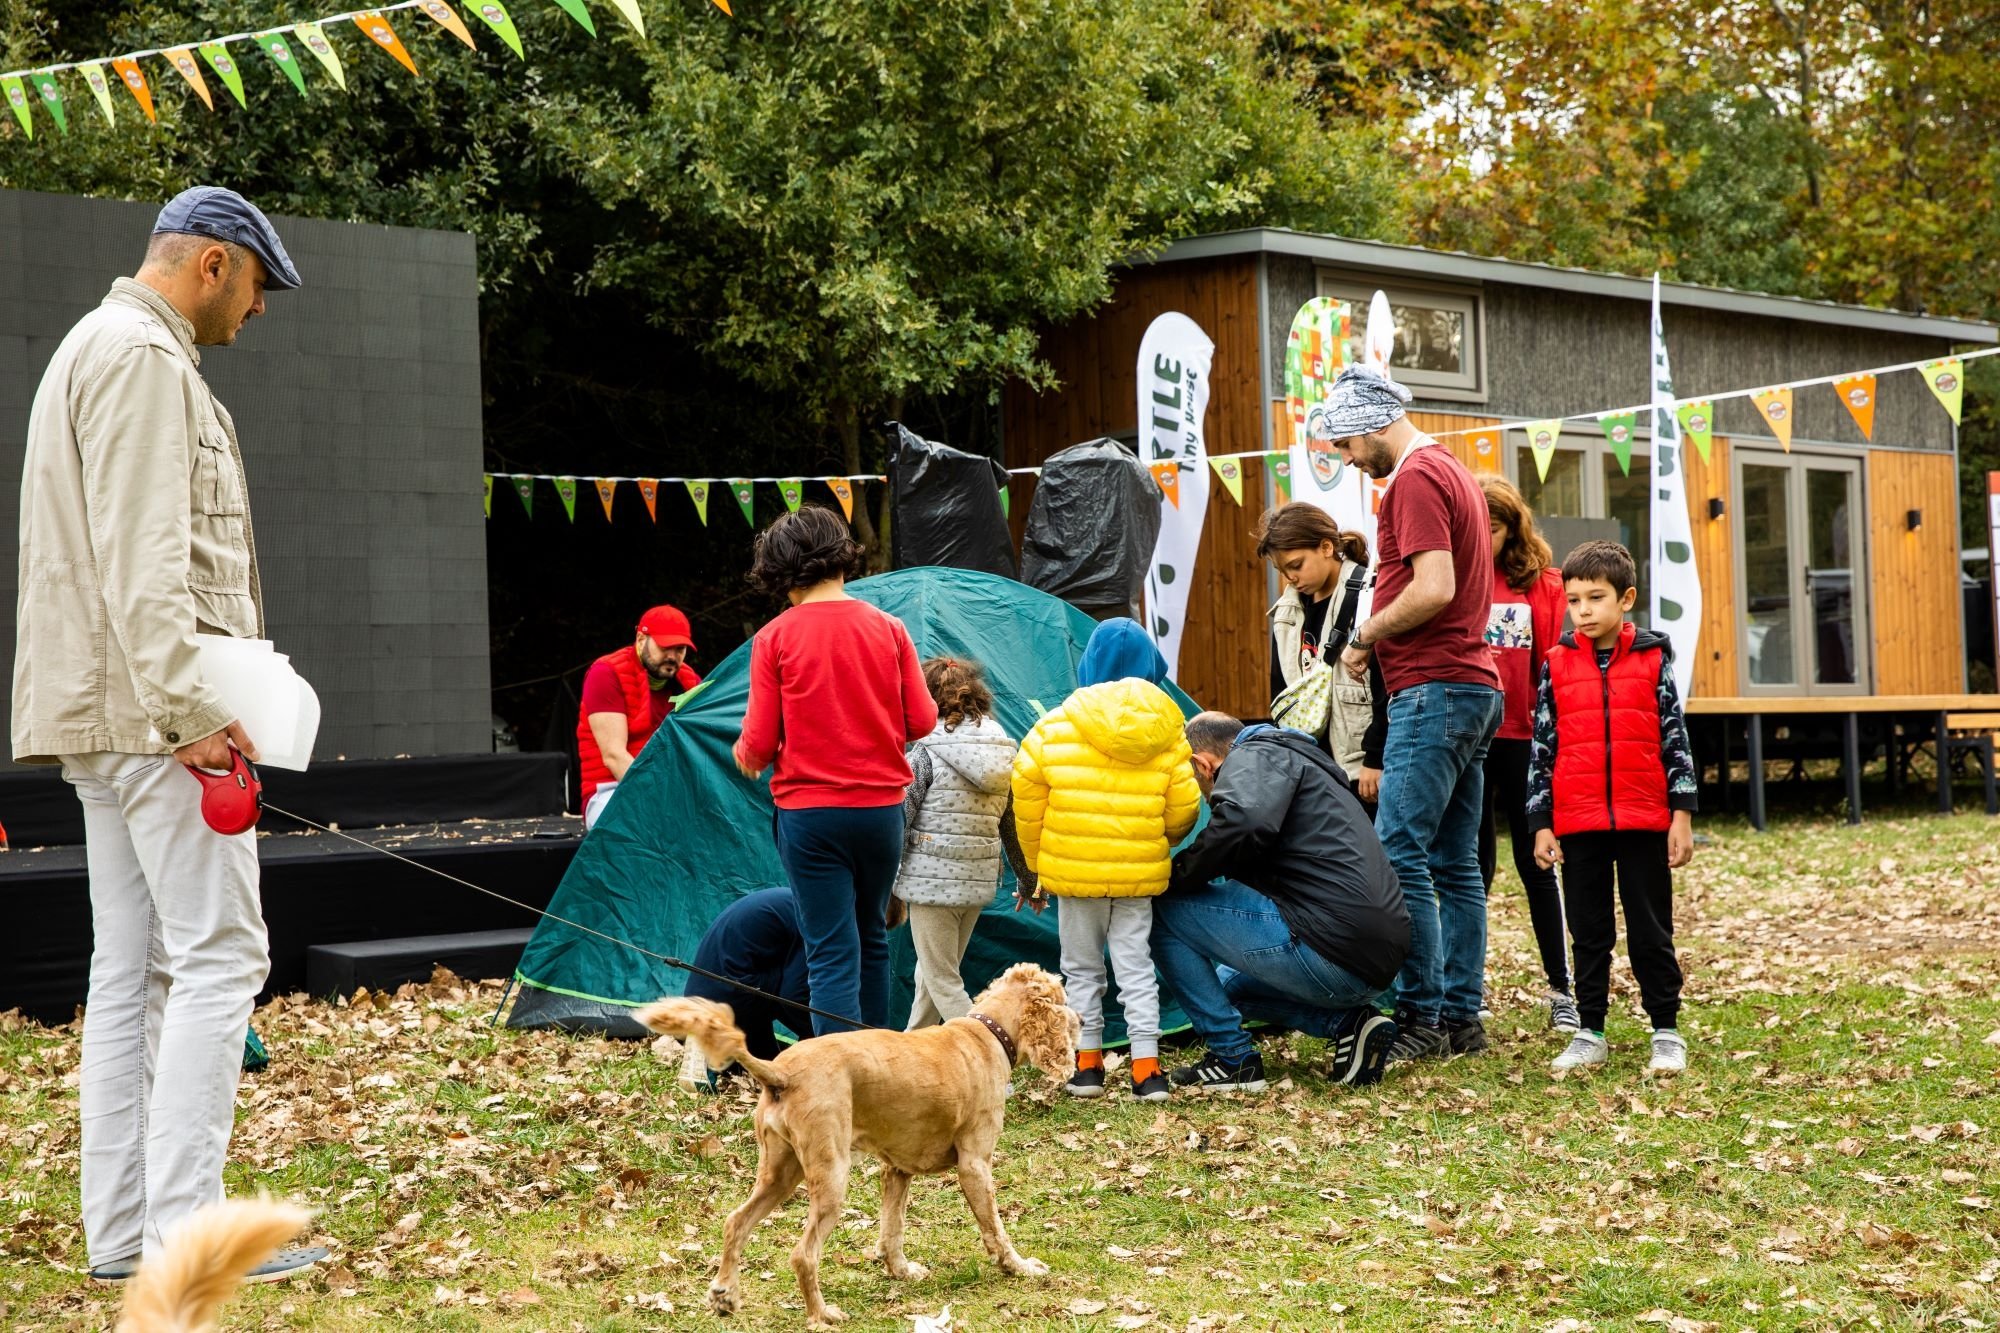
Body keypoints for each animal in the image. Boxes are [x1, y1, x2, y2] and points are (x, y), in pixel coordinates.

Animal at [636, 960, 1080, 1320]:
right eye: (1062, 997)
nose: (1080, 1021)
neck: (986, 1034)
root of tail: (781, 1073)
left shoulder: (896, 1170)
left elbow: (892, 1228)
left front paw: (900, 1270)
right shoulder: (975, 1166)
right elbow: (996, 1229)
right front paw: (1018, 1267)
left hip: (780, 1174)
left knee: (736, 1223)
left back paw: (725, 1295)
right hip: (830, 1177)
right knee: (803, 1255)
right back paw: (822, 1315)